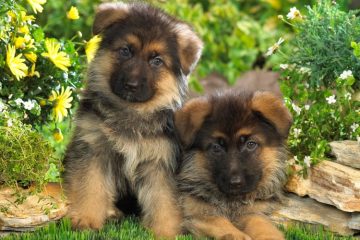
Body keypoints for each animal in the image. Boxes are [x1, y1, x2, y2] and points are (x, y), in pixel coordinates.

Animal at [62, 1, 202, 238]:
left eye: (157, 61)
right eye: (125, 51)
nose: (131, 85)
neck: (130, 113)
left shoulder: (161, 162)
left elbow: (164, 201)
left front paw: (166, 232)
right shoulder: (93, 150)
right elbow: (90, 187)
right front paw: (87, 221)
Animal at [175, 91, 292, 239]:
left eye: (251, 144)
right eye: (216, 147)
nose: (235, 183)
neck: (232, 202)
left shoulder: (253, 211)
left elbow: (261, 224)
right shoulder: (200, 213)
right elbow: (224, 225)